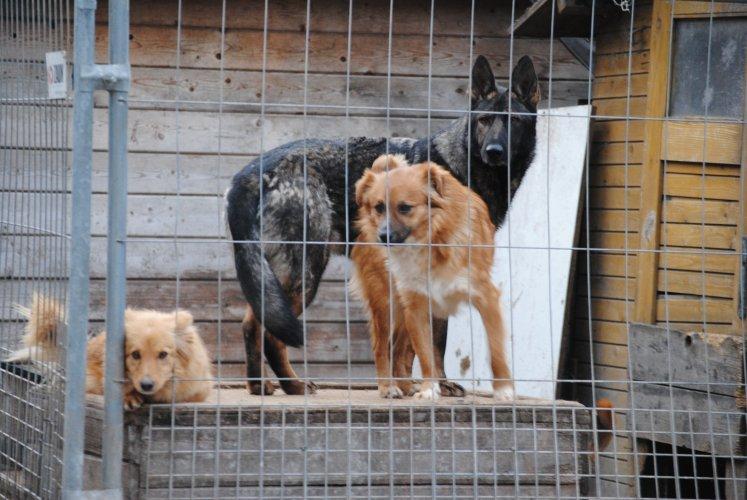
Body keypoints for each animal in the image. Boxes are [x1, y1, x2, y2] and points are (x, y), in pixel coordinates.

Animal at [353, 155, 512, 401]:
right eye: (379, 207)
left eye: (405, 208)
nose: (383, 236)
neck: (431, 241)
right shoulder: (416, 306)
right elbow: (426, 355)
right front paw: (429, 388)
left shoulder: (486, 297)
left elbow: (495, 350)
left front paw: (504, 389)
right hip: (387, 302)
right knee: (382, 347)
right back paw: (388, 386)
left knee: (397, 349)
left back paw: (406, 386)